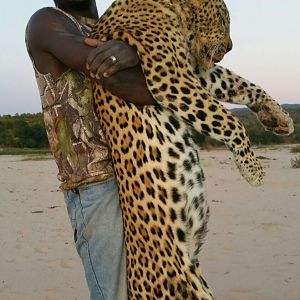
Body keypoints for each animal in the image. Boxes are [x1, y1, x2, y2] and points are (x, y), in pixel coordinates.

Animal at [88, 0, 292, 298]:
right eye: (223, 20)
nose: (230, 46)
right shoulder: (170, 78)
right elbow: (226, 119)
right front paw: (252, 170)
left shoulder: (193, 71)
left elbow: (240, 84)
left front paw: (278, 117)